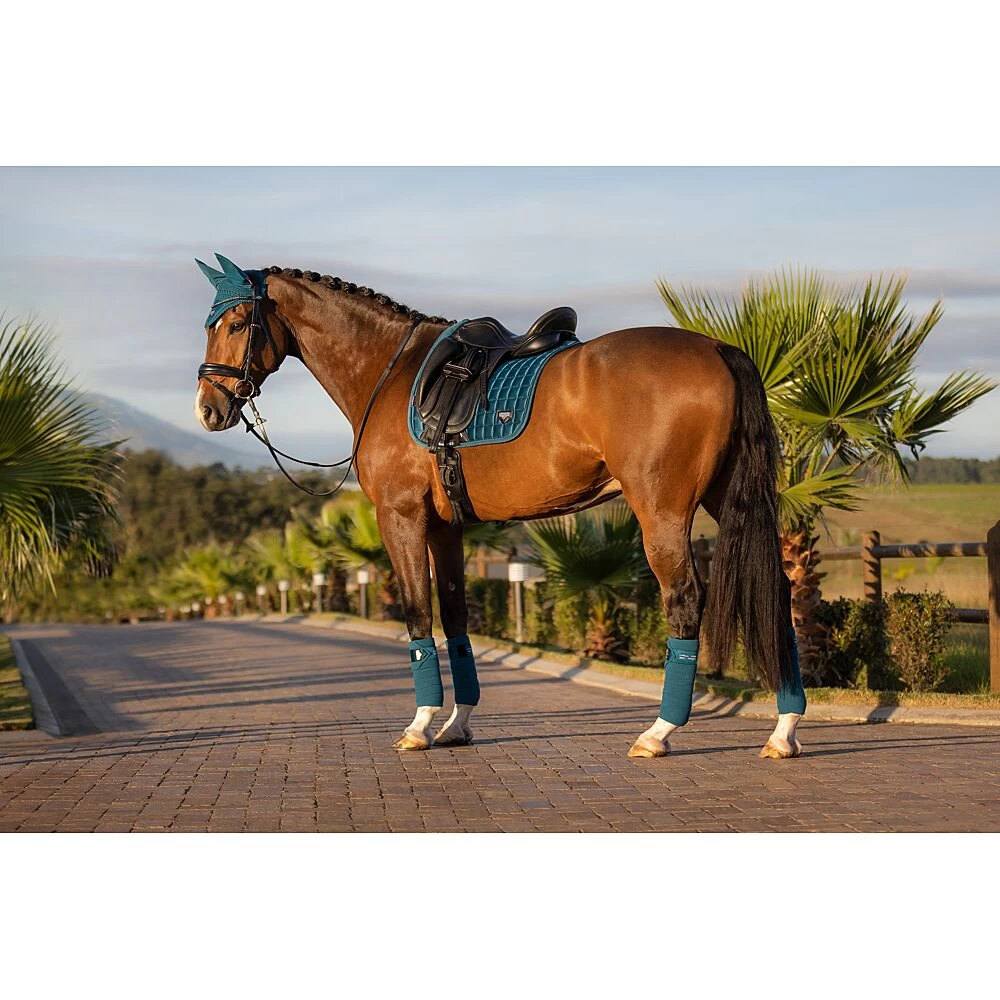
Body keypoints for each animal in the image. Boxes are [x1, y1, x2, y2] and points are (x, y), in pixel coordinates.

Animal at [193, 254, 807, 760]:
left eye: (238, 324)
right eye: (211, 326)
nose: (207, 409)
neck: (390, 371)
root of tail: (719, 349)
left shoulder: (401, 518)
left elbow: (417, 612)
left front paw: (419, 726)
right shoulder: (445, 527)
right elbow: (456, 617)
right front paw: (457, 724)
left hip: (662, 511)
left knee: (684, 600)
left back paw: (658, 733)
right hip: (726, 500)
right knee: (777, 591)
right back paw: (784, 729)